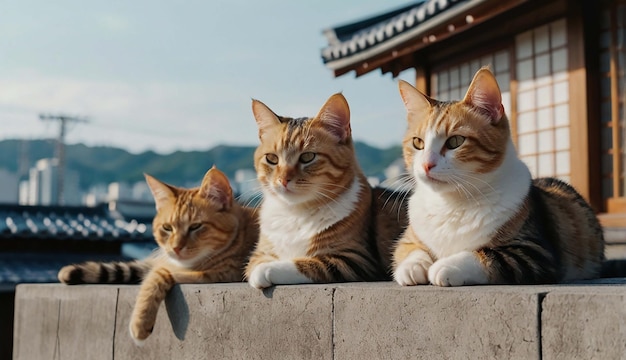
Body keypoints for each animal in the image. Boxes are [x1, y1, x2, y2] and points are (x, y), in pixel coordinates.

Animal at [56, 167, 256, 344]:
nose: (175, 248)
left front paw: (140, 321)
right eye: (167, 228)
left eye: (195, 226)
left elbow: (156, 275)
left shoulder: (222, 272)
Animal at [244, 93, 404, 290]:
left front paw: (266, 270)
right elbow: (254, 262)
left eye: (307, 157)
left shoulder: (356, 259)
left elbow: (306, 263)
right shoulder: (260, 251)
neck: (296, 212)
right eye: (271, 159)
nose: (283, 180)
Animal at [390, 67, 604, 286]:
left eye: (455, 141)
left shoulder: (536, 253)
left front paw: (446, 266)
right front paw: (412, 267)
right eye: (417, 142)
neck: (452, 203)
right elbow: (408, 249)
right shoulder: (409, 238)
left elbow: (487, 255)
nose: (426, 164)